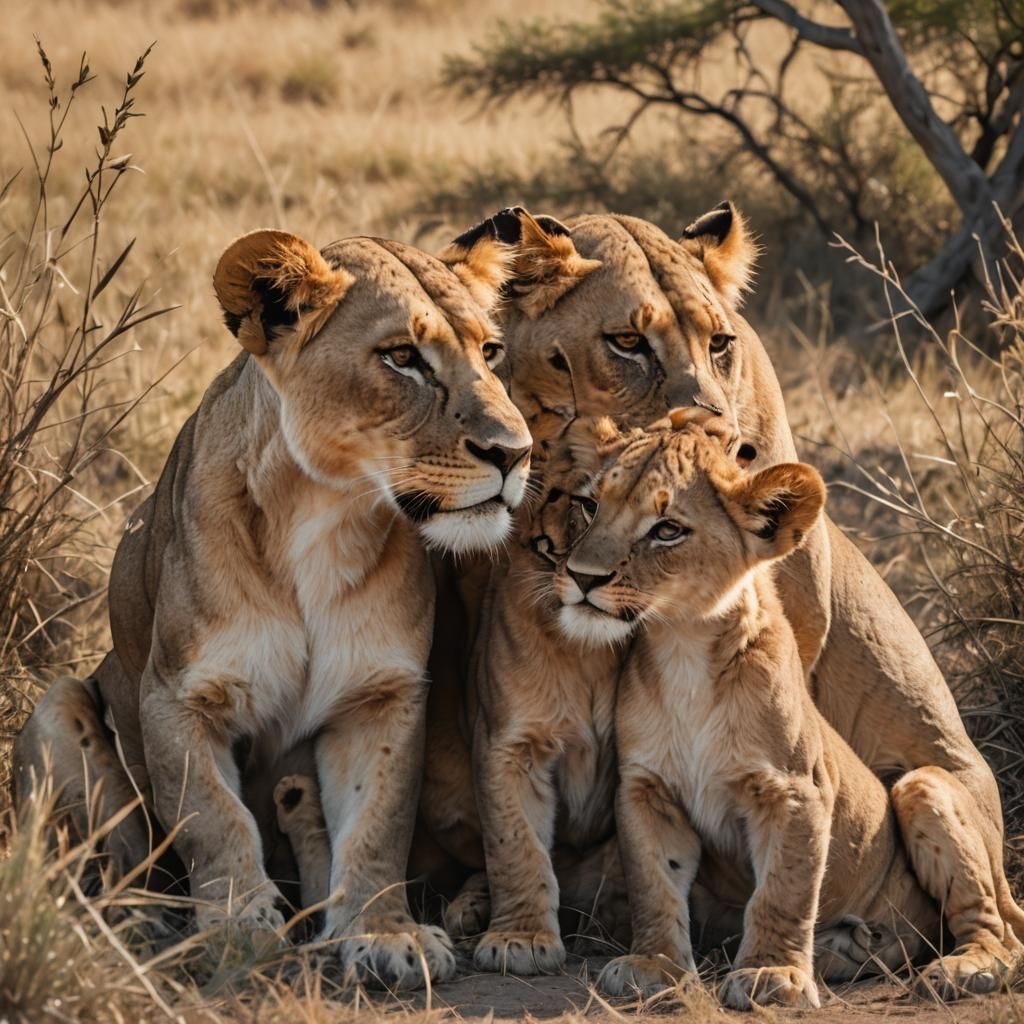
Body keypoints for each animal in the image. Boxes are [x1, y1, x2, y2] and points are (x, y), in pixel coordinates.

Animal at [13, 226, 532, 990]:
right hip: (59, 704)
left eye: (490, 352)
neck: (326, 513)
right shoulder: (178, 696)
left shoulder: (380, 696)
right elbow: (213, 818)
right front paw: (236, 930)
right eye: (402, 357)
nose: (515, 452)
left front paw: (385, 933)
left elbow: (378, 824)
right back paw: (139, 925)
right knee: (119, 859)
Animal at [552, 408, 945, 1008]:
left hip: (925, 800)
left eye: (667, 530)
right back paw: (847, 948)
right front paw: (654, 966)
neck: (684, 647)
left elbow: (783, 890)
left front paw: (771, 974)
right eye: (591, 505)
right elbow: (654, 883)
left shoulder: (795, 789)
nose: (581, 577)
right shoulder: (646, 789)